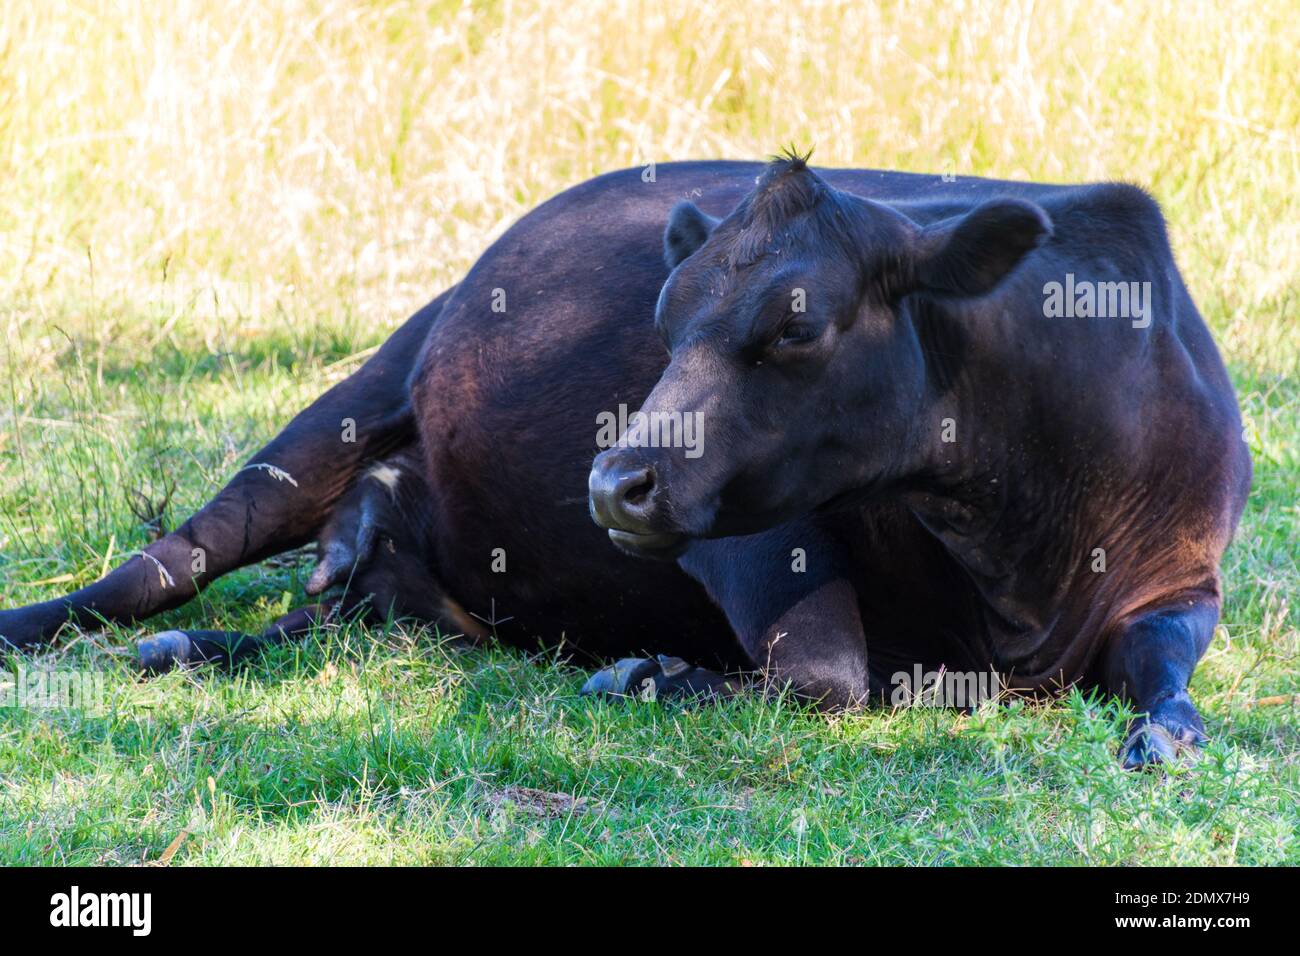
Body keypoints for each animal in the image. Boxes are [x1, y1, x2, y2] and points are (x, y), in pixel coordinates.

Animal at [0, 153, 1251, 768]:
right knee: (173, 560)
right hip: (360, 391)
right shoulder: (751, 521)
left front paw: (1167, 734)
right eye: (665, 315)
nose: (611, 481)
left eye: (795, 325)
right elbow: (826, 672)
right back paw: (68, 623)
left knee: (329, 606)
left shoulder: (1181, 576)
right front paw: (654, 673)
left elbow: (1163, 671)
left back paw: (241, 629)